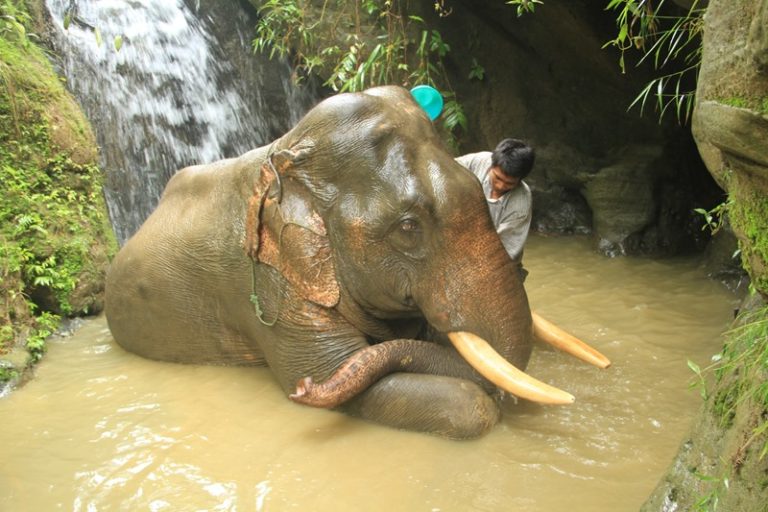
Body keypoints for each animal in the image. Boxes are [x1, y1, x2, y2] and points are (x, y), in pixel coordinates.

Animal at [105, 85, 607, 439]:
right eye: (408, 227)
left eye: (482, 192)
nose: (303, 390)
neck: (286, 149)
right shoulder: (268, 286)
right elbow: (459, 404)